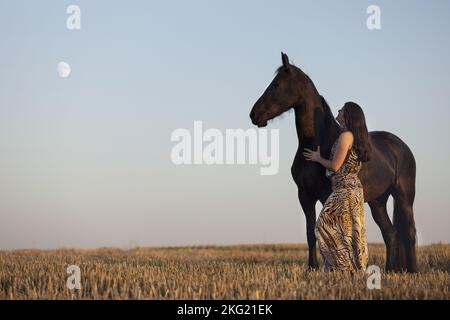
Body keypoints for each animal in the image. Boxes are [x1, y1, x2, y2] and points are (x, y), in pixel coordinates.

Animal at [250, 52, 418, 272]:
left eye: (276, 84)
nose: (254, 114)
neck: (316, 140)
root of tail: (401, 146)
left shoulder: (324, 195)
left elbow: (328, 233)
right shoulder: (304, 196)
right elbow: (310, 233)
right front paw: (312, 267)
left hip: (404, 196)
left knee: (410, 232)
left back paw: (413, 270)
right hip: (378, 202)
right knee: (390, 233)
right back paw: (390, 269)